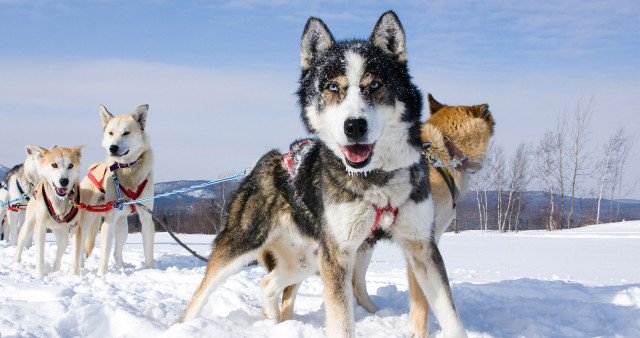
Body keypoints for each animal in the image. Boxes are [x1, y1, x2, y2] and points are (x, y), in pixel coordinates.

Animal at [13, 144, 85, 276]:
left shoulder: (75, 227)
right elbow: (40, 252)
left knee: (60, 252)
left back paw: (56, 271)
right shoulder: (40, 226)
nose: (64, 181)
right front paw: (40, 274)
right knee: (20, 244)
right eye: (54, 165)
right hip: (28, 225)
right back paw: (15, 264)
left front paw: (74, 275)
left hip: (63, 236)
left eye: (70, 165)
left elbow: (75, 255)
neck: (59, 201)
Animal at [79, 104, 155, 276]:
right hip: (87, 220)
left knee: (116, 253)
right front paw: (102, 274)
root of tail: (93, 167)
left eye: (126, 132)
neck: (128, 170)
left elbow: (148, 252)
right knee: (79, 246)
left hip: (122, 227)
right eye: (110, 133)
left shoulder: (146, 218)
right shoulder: (109, 219)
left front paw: (150, 271)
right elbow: (104, 253)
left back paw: (121, 269)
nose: (112, 147)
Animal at [182, 11, 468, 338]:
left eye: (375, 85)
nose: (354, 126)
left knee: (268, 282)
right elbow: (342, 322)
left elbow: (450, 315)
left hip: (306, 260)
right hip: (244, 243)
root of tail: (266, 163)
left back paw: (275, 321)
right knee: (200, 294)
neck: (374, 179)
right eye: (332, 87)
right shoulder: (339, 255)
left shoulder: (422, 247)